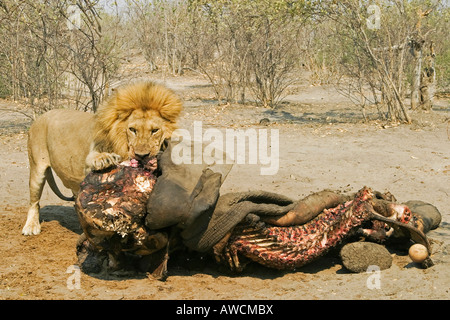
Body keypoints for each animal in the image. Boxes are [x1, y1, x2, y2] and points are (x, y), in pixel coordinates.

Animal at [21, 81, 183, 234]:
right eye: (132, 130)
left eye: (154, 130)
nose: (141, 155)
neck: (121, 142)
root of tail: (41, 116)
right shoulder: (89, 160)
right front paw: (104, 159)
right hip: (36, 168)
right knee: (34, 202)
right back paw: (31, 227)